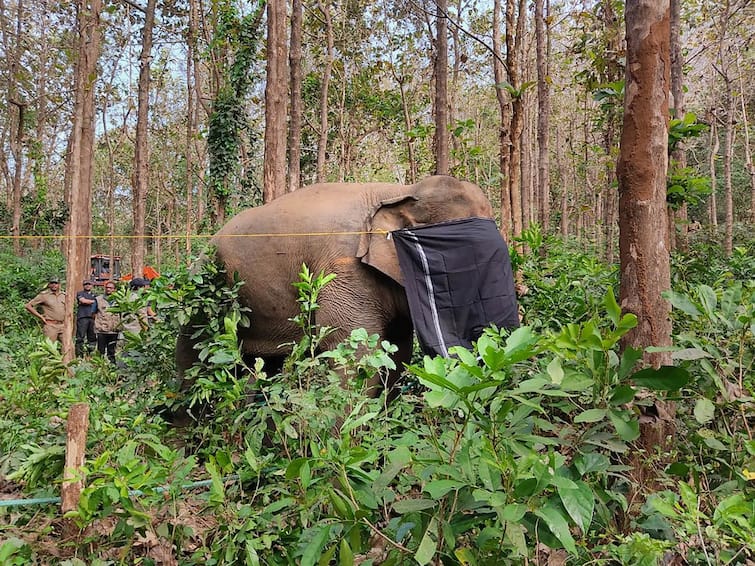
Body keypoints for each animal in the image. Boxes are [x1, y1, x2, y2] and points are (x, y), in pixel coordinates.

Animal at [177, 175, 504, 398]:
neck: (400, 191)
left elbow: (396, 355)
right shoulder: (344, 270)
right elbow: (357, 356)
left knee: (264, 366)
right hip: (203, 294)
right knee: (192, 361)